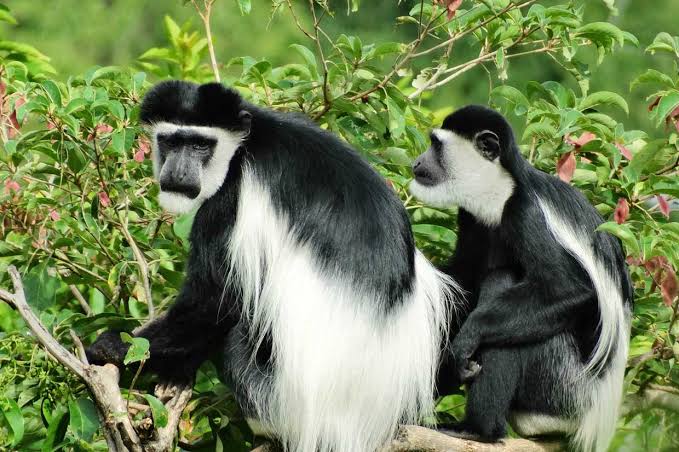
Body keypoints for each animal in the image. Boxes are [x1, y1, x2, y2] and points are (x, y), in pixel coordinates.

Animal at [86, 80, 457, 452]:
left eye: (201, 145)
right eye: (171, 142)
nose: (178, 172)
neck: (247, 144)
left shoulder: (231, 198)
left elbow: (214, 301)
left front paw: (115, 348)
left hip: (281, 396)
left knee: (238, 334)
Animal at [409, 105, 633, 452]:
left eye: (436, 145)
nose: (417, 163)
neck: (500, 192)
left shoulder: (526, 213)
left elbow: (568, 290)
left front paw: (468, 338)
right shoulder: (473, 217)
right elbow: (463, 279)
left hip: (560, 385)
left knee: (506, 293)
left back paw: (478, 429)